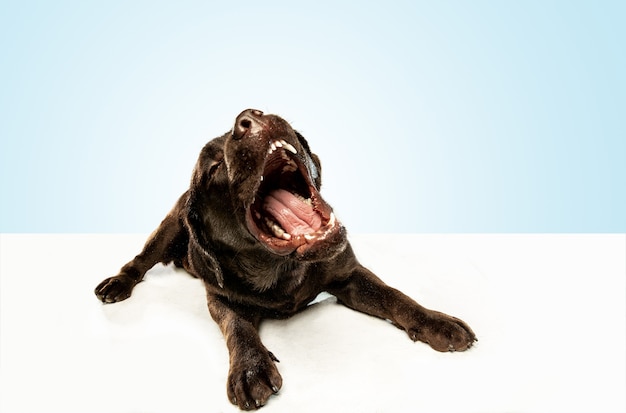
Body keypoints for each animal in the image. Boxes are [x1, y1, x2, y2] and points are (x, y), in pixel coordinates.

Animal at [94, 108, 472, 408]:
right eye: (213, 167)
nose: (247, 118)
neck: (281, 268)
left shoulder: (350, 275)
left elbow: (396, 296)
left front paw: (436, 321)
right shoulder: (219, 298)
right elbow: (238, 327)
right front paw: (250, 367)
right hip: (168, 226)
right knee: (139, 261)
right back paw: (117, 283)